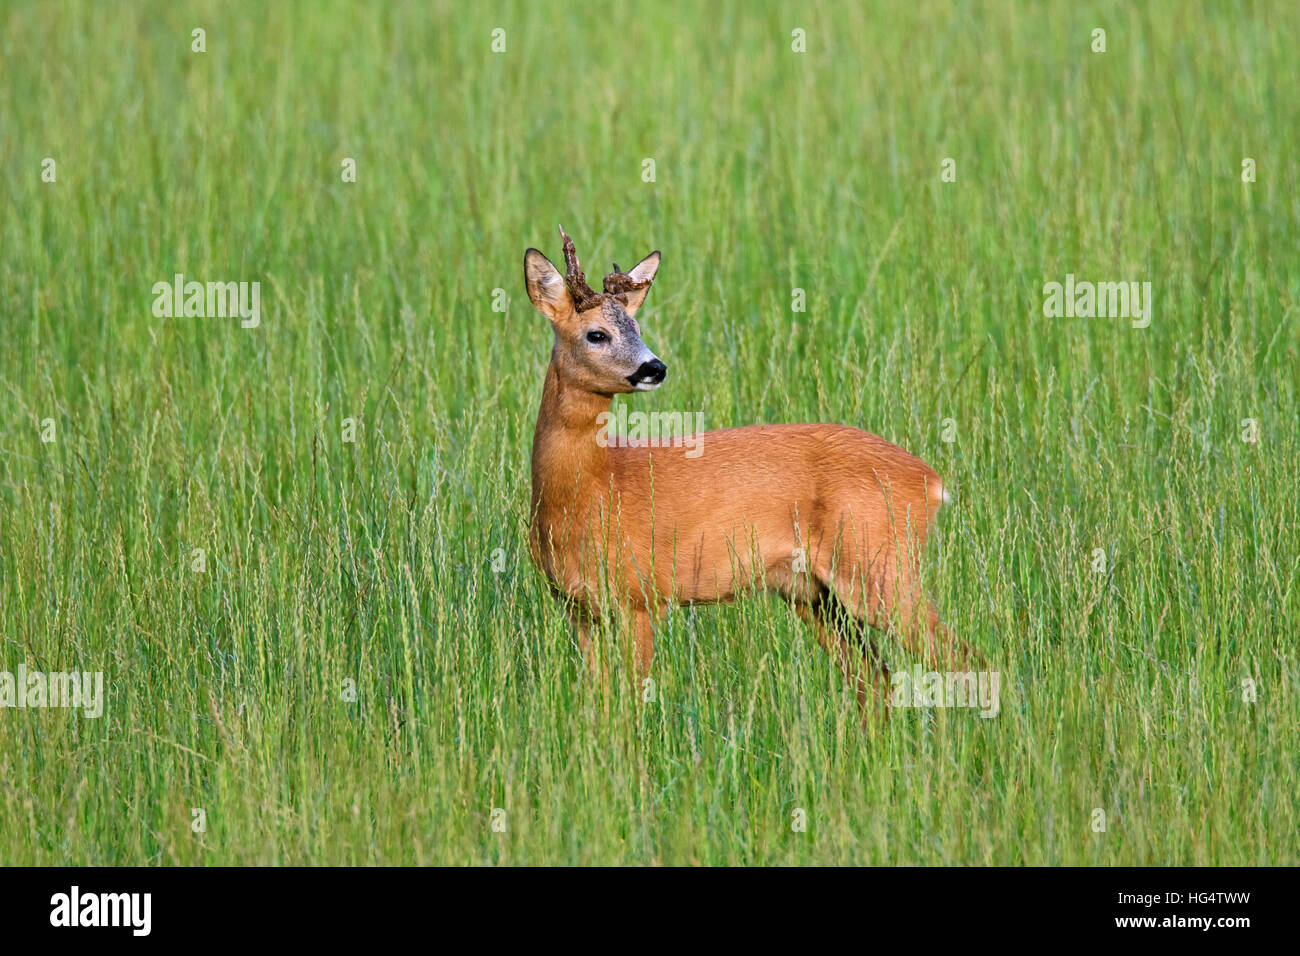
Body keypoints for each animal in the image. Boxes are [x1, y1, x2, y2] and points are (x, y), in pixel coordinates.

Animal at [522, 226, 972, 717]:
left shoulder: (641, 596)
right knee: (878, 680)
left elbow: (631, 706)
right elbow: (599, 704)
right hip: (813, 594)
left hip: (880, 566)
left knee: (962, 660)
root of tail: (932, 481)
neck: (592, 489)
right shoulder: (580, 608)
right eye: (597, 334)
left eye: (637, 327)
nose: (654, 367)